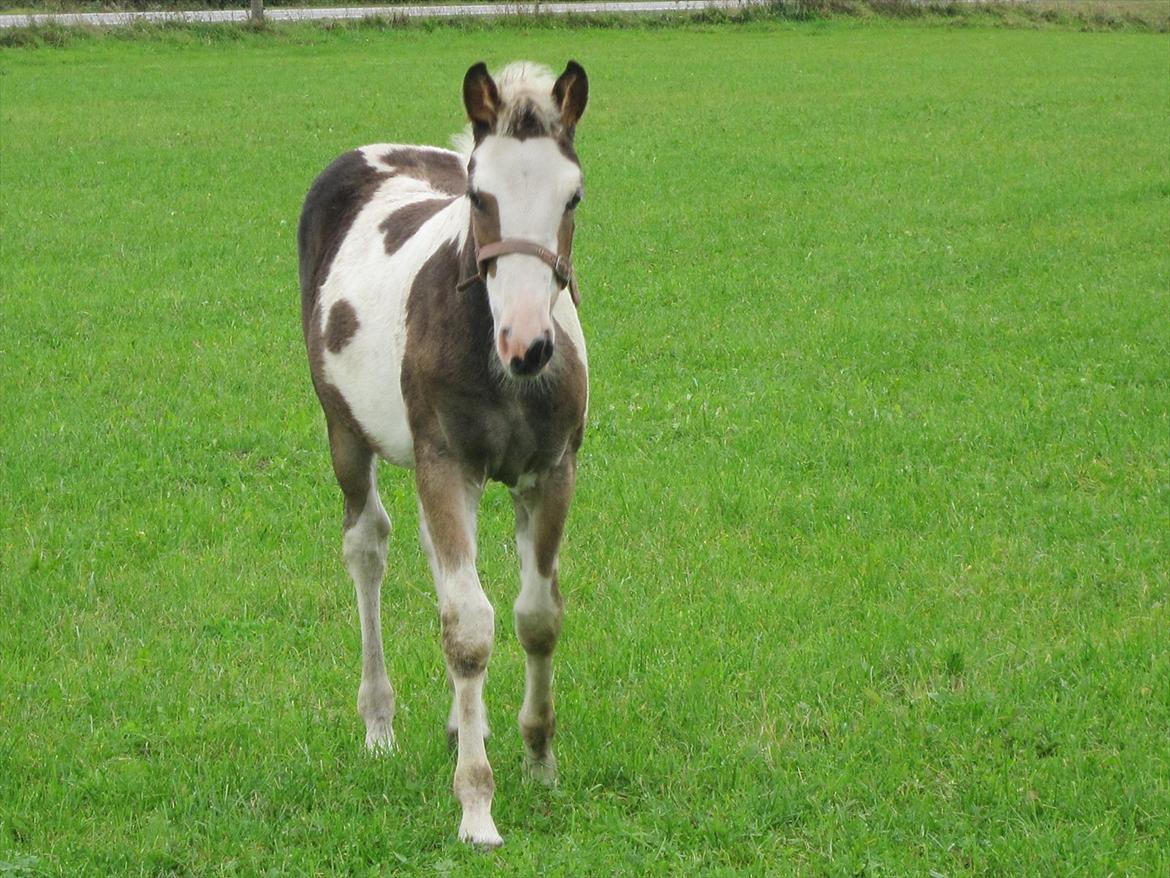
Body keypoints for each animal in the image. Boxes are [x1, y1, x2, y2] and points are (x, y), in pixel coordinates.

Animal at [292, 62, 585, 847]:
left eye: (573, 196)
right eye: (480, 197)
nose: (528, 344)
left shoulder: (549, 473)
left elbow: (535, 615)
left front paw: (539, 761)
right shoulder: (445, 465)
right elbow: (469, 629)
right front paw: (477, 806)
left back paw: (461, 726)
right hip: (347, 434)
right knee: (368, 546)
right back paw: (379, 726)